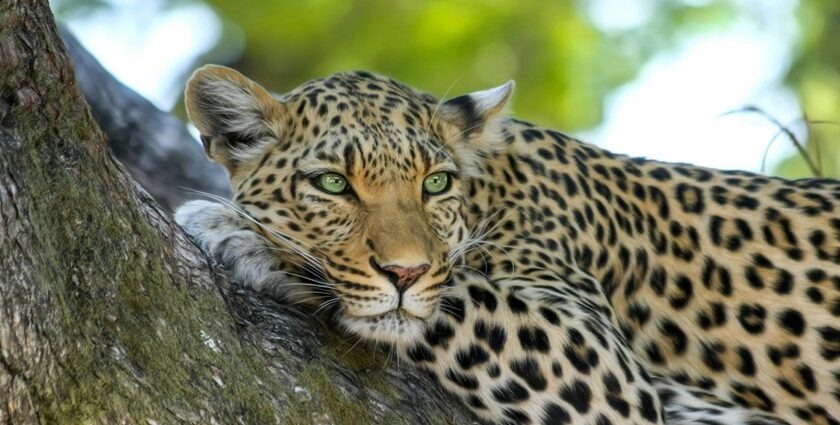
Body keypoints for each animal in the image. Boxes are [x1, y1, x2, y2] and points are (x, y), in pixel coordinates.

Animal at [174, 64, 836, 422]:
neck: (490, 192)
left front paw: (243, 235)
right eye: (333, 183)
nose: (405, 273)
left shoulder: (604, 368)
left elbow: (460, 296)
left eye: (435, 183)